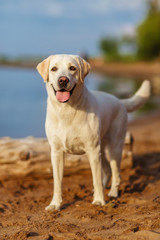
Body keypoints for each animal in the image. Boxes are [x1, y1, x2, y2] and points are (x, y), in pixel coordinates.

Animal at [37, 54, 151, 210]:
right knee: (107, 170)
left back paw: (112, 193)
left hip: (114, 147)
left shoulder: (92, 150)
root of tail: (119, 100)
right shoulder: (56, 152)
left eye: (72, 68)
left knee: (116, 172)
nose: (63, 80)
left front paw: (99, 201)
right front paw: (55, 204)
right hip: (101, 149)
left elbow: (95, 178)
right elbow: (57, 182)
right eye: (54, 69)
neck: (67, 110)